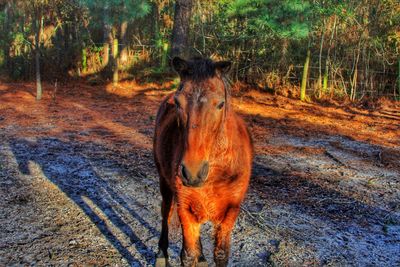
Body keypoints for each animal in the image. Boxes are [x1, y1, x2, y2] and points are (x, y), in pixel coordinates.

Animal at [154, 57, 253, 267]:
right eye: (178, 102)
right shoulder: (184, 208)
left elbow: (221, 253)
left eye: (221, 104)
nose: (192, 172)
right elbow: (187, 254)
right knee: (165, 212)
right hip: (164, 184)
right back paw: (161, 254)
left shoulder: (230, 213)